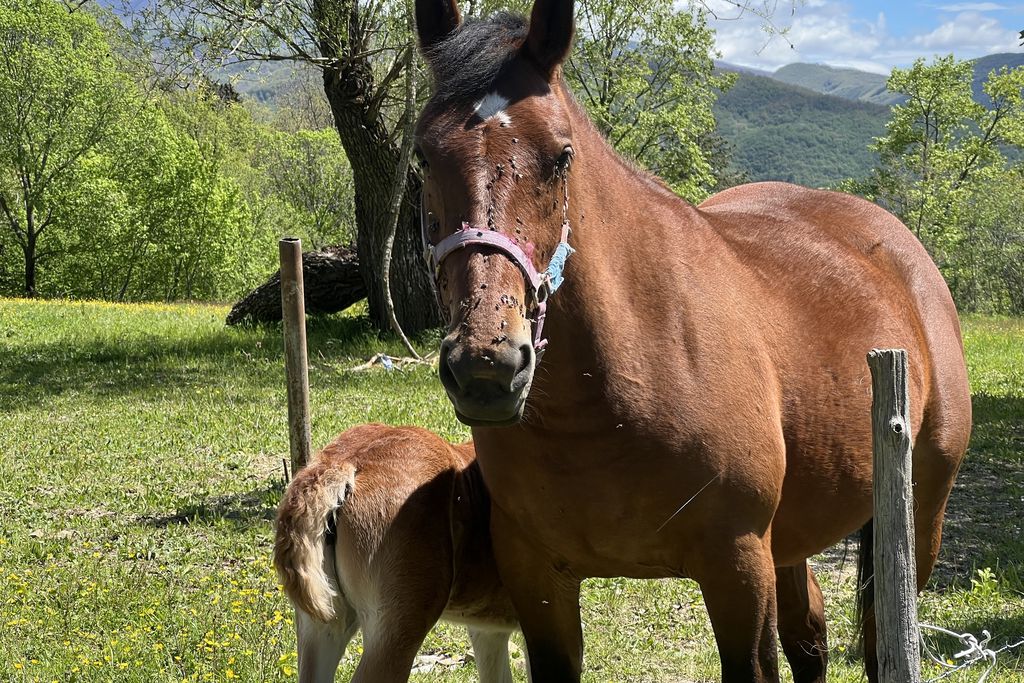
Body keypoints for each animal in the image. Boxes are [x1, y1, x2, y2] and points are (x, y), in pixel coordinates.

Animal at [411, 2, 970, 679]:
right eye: (423, 156)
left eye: (561, 155)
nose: (488, 365)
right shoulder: (537, 576)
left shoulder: (736, 567)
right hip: (792, 541)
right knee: (810, 636)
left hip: (918, 519)